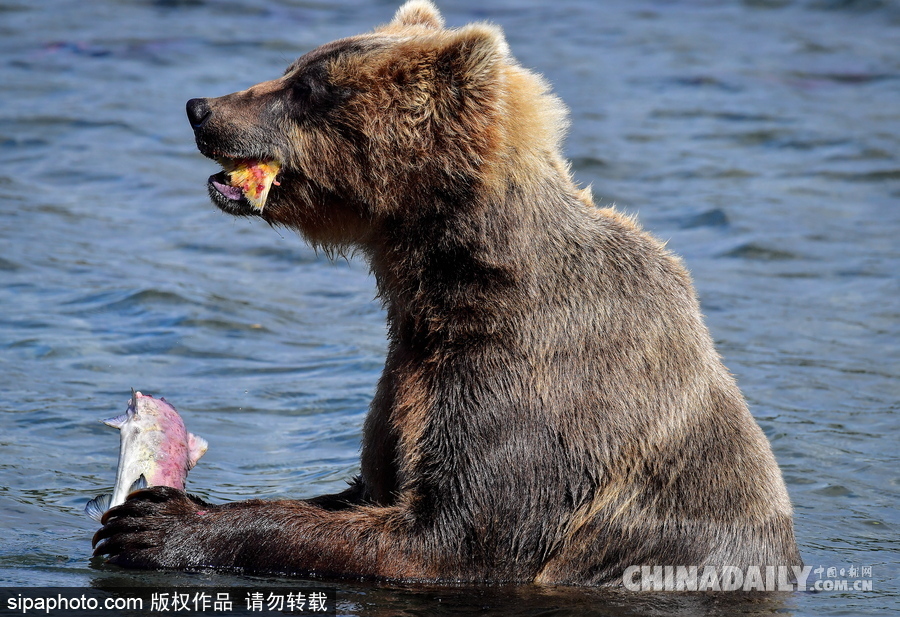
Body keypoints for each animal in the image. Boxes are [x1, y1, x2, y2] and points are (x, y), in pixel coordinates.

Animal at [93, 0, 802, 585]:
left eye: (309, 88)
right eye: (293, 66)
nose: (202, 108)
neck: (448, 277)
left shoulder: (537, 383)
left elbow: (452, 536)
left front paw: (157, 524)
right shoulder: (413, 364)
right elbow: (371, 485)